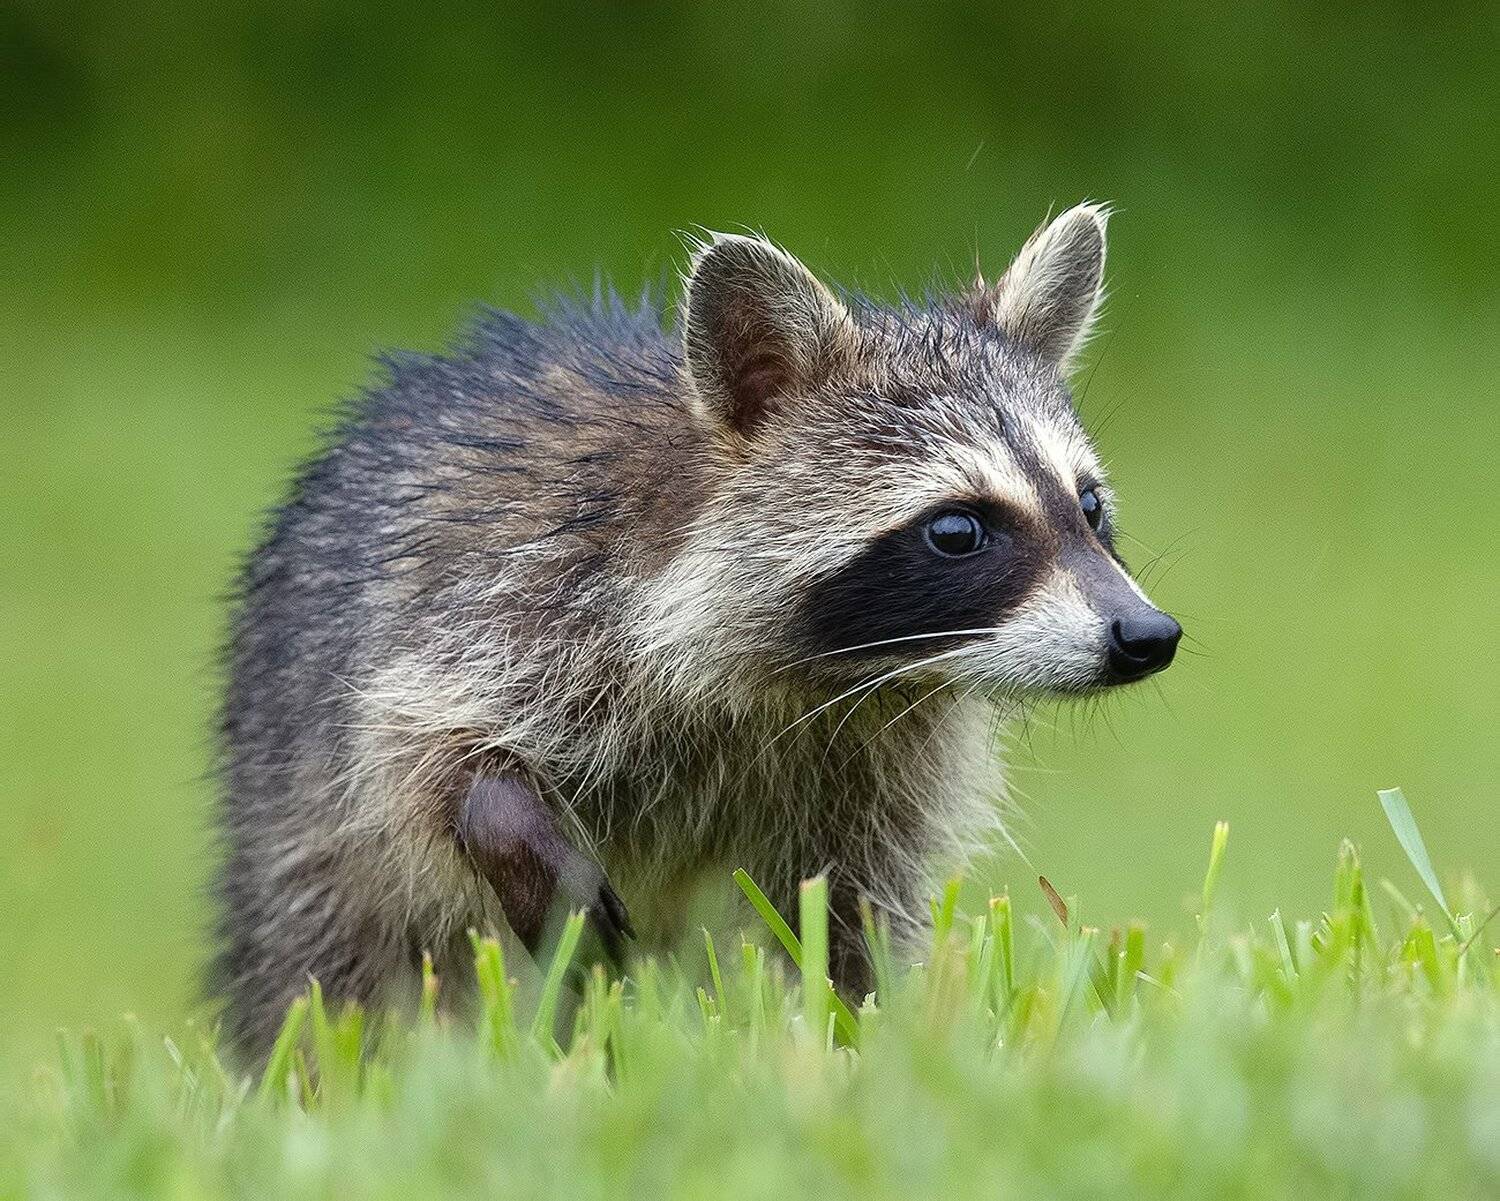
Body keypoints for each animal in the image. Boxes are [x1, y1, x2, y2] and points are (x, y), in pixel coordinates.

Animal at [215, 203, 1180, 1058]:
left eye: (1088, 505)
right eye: (957, 529)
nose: (1147, 634)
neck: (828, 673)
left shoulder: (882, 760)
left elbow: (848, 911)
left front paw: (861, 1038)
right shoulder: (504, 600)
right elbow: (419, 752)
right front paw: (509, 826)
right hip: (292, 823)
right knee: (333, 966)